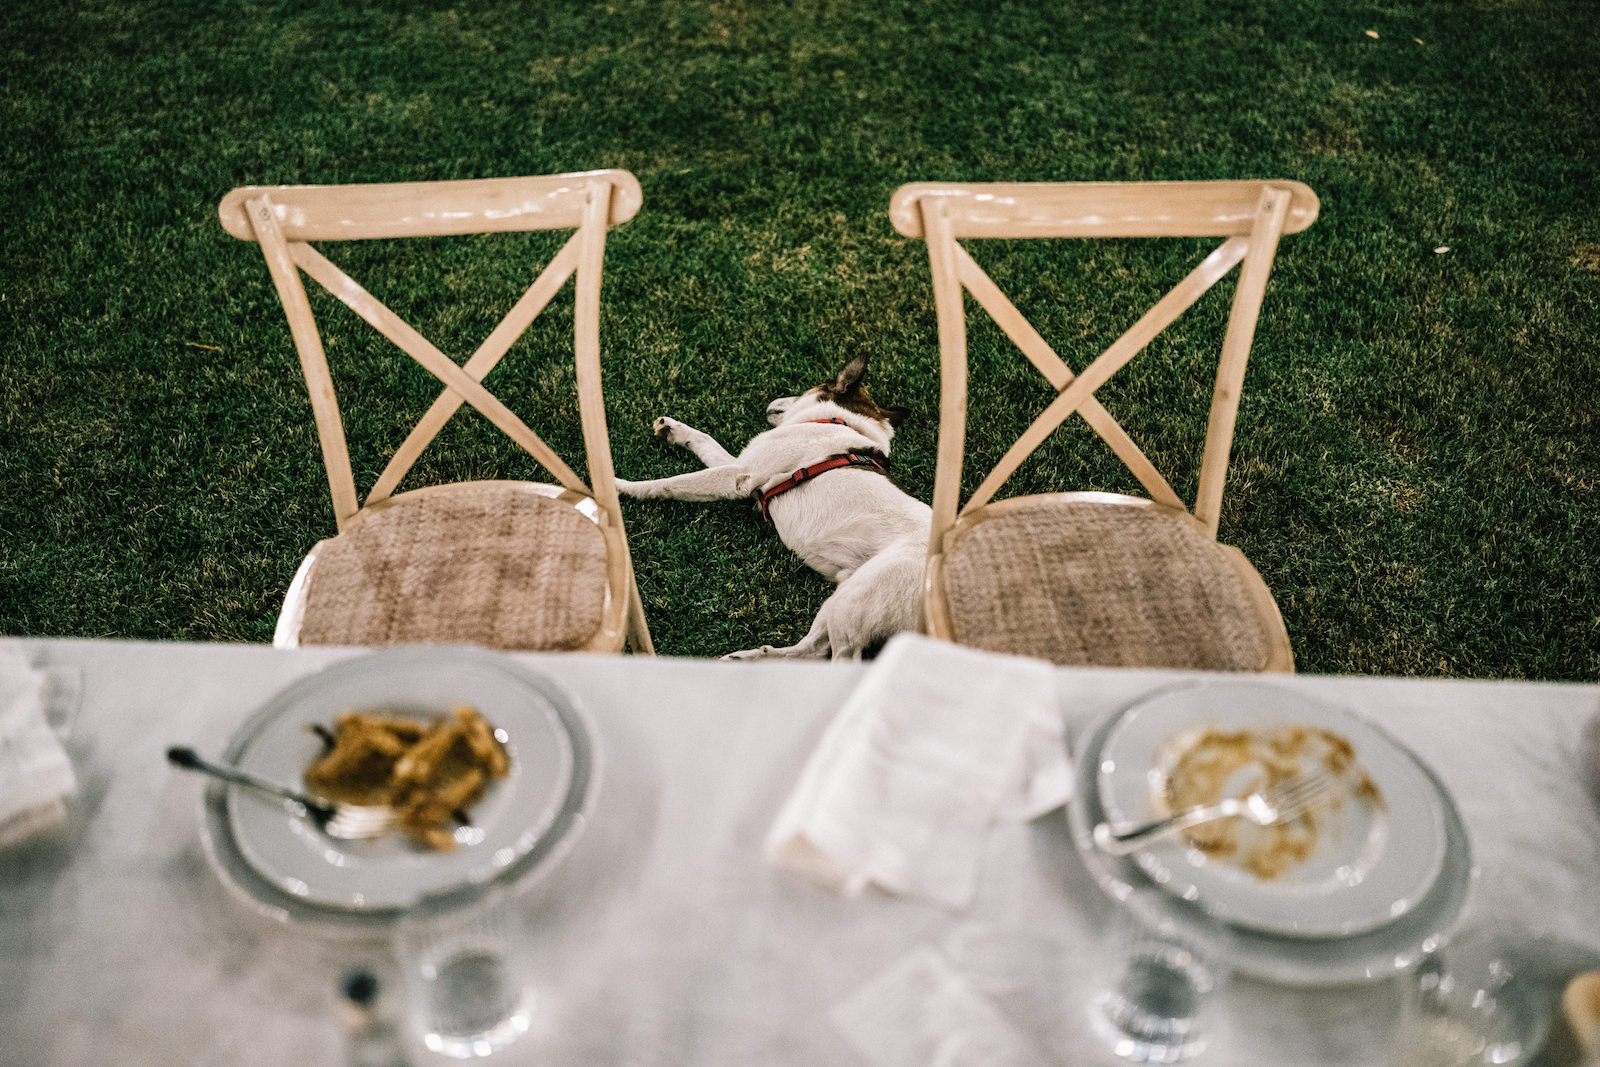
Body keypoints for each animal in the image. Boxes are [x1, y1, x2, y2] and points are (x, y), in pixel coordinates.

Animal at [617, 358, 934, 659]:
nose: (771, 402)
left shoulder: (739, 475)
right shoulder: (743, 468)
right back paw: (749, 658)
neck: (841, 422)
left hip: (856, 597)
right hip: (843, 594)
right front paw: (674, 429)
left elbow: (668, 484)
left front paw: (624, 486)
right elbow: (705, 440)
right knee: (811, 650)